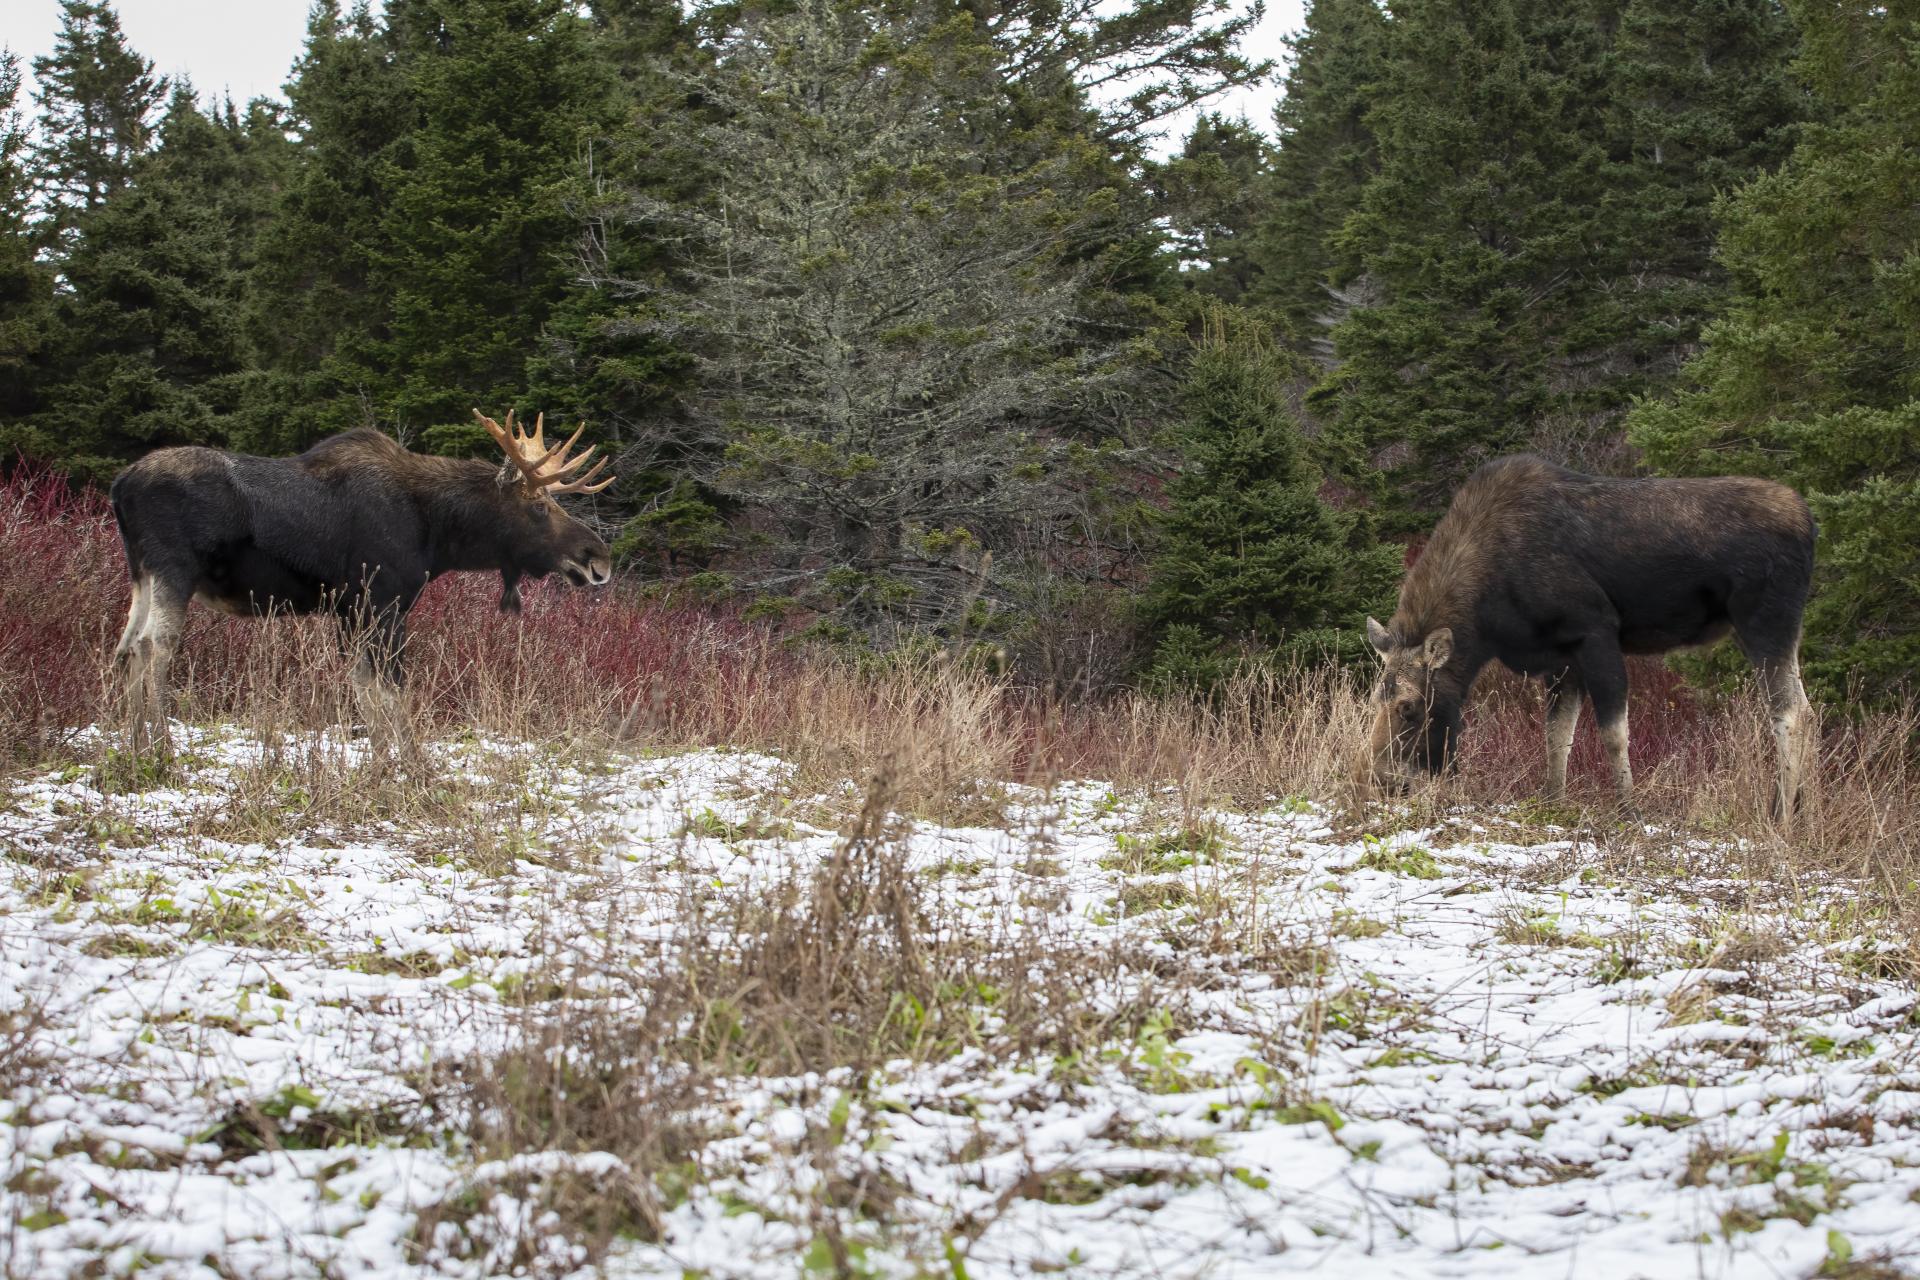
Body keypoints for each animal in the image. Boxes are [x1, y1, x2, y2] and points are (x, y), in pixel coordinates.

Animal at [108, 410, 615, 750]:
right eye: (539, 506)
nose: (597, 558)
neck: (438, 534)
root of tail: (120, 485)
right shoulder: (383, 601)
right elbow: (390, 685)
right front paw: (410, 763)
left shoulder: (351, 609)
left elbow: (361, 683)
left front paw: (381, 758)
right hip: (176, 569)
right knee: (155, 644)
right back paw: (161, 746)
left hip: (141, 574)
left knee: (127, 644)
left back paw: (134, 745)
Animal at [1355, 455, 1816, 821]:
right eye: (1375, 700)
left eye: (1409, 707)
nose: (1382, 780)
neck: (1486, 616)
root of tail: (1809, 519)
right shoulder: (1560, 657)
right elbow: (1557, 736)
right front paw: (1552, 800)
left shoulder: (1595, 632)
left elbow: (1613, 733)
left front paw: (1629, 810)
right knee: (1807, 707)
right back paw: (1799, 811)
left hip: (1766, 618)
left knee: (1789, 711)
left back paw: (1782, 818)